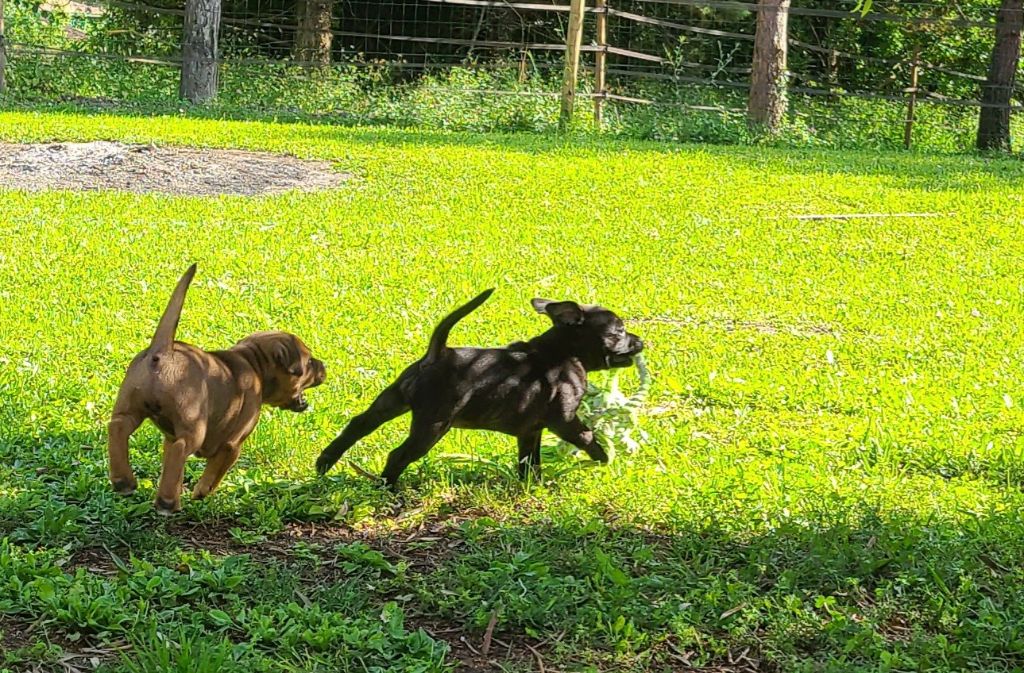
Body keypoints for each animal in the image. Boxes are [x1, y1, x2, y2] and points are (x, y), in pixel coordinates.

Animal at [107, 264, 326, 514]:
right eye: (309, 362)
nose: (325, 367)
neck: (254, 363)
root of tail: (163, 351)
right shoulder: (233, 444)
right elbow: (215, 472)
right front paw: (201, 491)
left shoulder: (169, 435)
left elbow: (172, 467)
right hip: (194, 426)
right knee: (180, 448)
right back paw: (167, 502)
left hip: (130, 407)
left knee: (118, 427)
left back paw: (124, 480)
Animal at [315, 290, 643, 486]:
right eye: (619, 331)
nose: (641, 340)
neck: (563, 350)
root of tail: (438, 354)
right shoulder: (564, 421)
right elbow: (587, 436)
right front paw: (604, 460)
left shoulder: (530, 431)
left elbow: (529, 461)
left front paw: (532, 486)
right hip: (433, 426)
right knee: (398, 455)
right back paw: (388, 487)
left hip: (391, 401)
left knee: (358, 425)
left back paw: (325, 463)